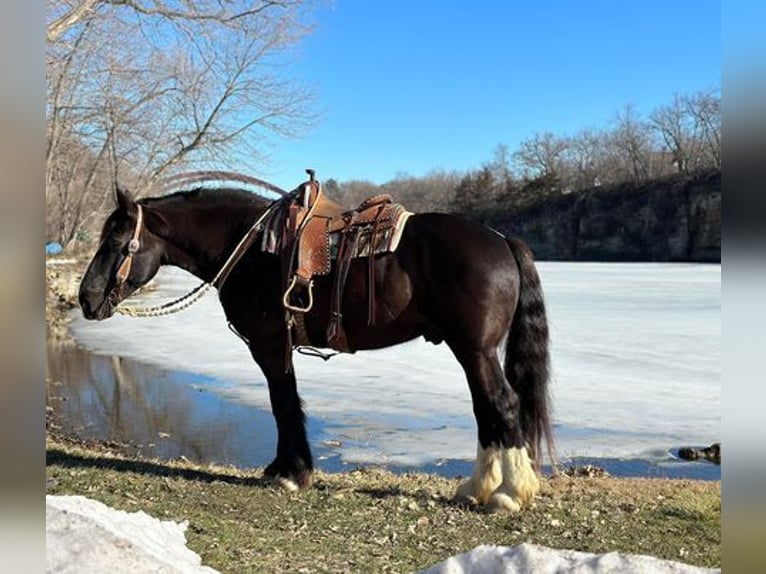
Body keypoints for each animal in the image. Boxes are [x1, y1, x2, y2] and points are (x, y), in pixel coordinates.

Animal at [78, 178, 556, 516]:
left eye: (117, 243)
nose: (86, 298)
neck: (252, 250)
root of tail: (501, 240)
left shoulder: (270, 346)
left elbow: (283, 403)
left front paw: (291, 474)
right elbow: (285, 403)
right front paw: (285, 469)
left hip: (475, 350)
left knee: (502, 404)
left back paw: (509, 495)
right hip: (472, 351)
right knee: (485, 409)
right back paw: (476, 489)